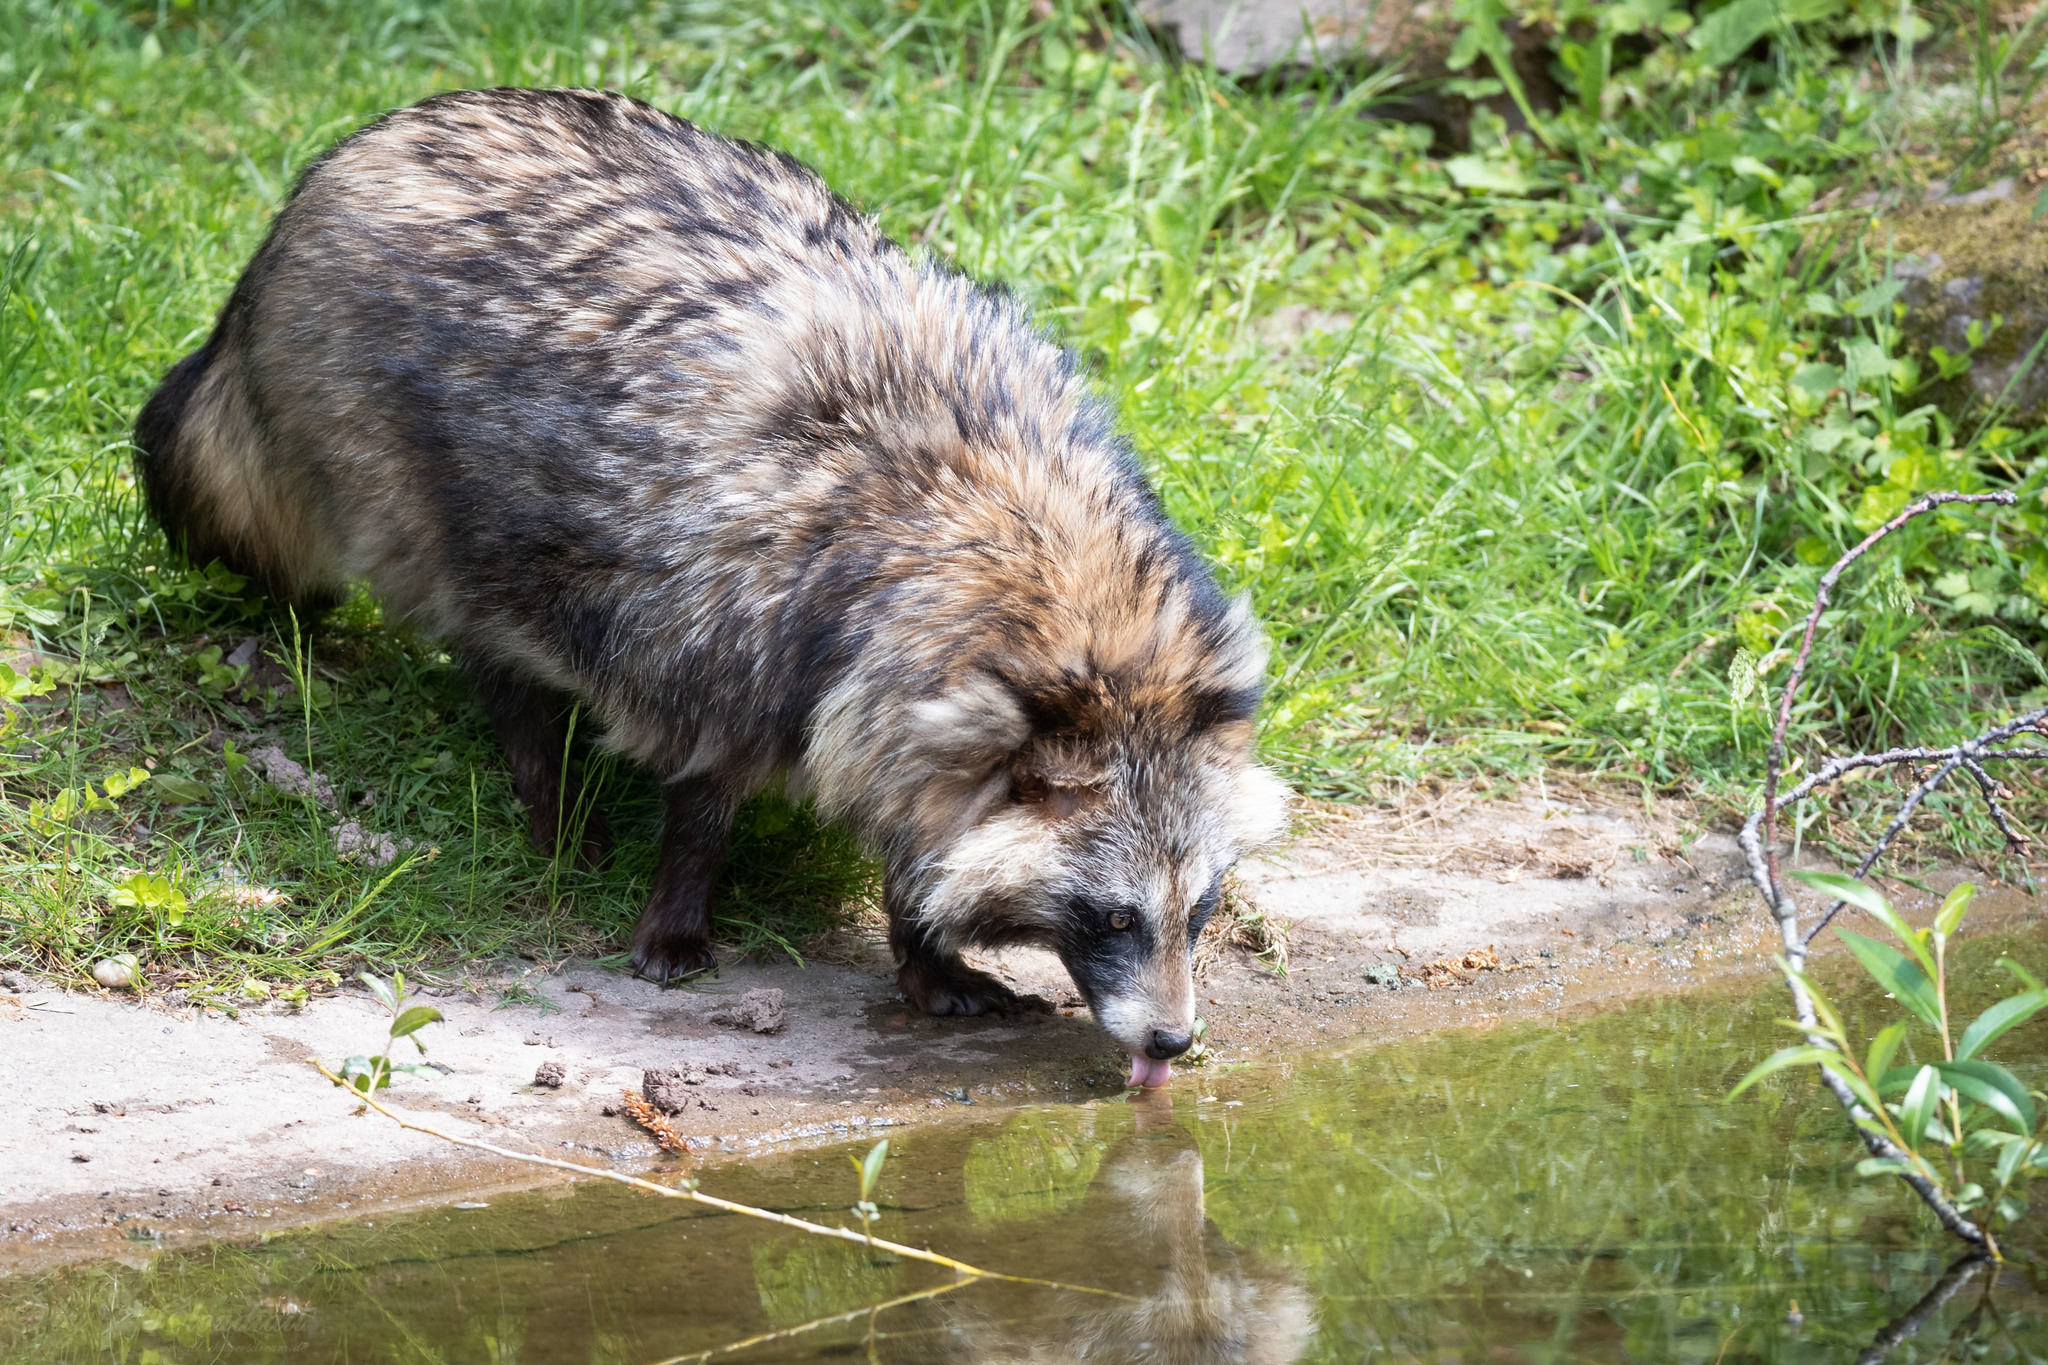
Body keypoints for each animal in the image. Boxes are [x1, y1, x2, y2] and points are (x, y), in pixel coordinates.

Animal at [132, 87, 1277, 1088]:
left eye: (1200, 908)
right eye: (1114, 916)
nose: (1173, 1043)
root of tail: (353, 154)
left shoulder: (901, 686)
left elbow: (908, 797)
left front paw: (919, 939)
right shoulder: (727, 609)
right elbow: (706, 777)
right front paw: (682, 893)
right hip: (397, 465)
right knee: (491, 635)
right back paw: (543, 781)